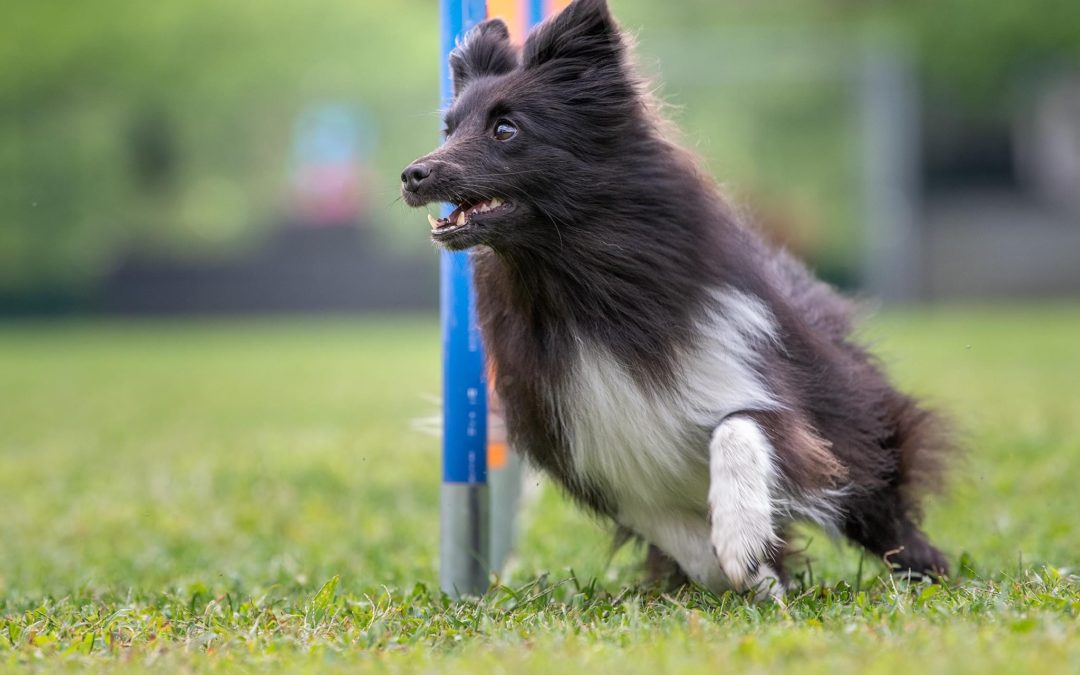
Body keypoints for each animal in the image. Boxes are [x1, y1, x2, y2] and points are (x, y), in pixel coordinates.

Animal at [401, 0, 950, 596]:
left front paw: (740, 537)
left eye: (505, 129)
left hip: (851, 420)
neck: (575, 284)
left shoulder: (746, 373)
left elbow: (742, 427)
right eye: (449, 129)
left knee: (874, 498)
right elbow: (662, 521)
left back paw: (924, 567)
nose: (413, 174)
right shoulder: (585, 444)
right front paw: (745, 571)